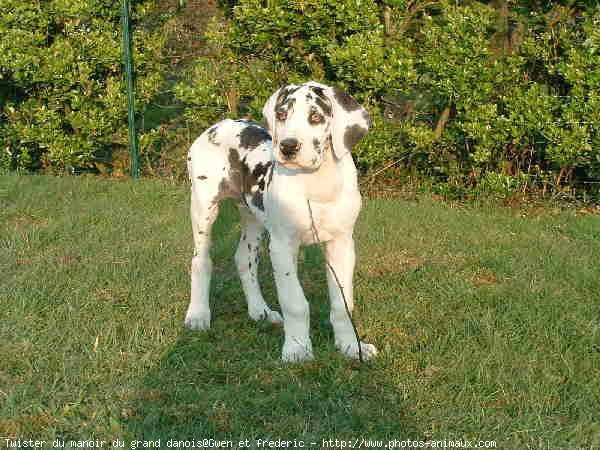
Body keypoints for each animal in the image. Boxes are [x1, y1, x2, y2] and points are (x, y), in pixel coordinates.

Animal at [185, 81, 378, 362]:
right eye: (282, 115)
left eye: (316, 117)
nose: (288, 146)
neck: (316, 185)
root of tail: (220, 124)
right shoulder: (283, 247)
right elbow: (295, 302)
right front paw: (297, 348)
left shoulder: (342, 244)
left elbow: (343, 303)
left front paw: (351, 346)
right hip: (203, 207)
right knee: (200, 261)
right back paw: (198, 315)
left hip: (253, 217)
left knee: (244, 259)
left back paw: (260, 311)